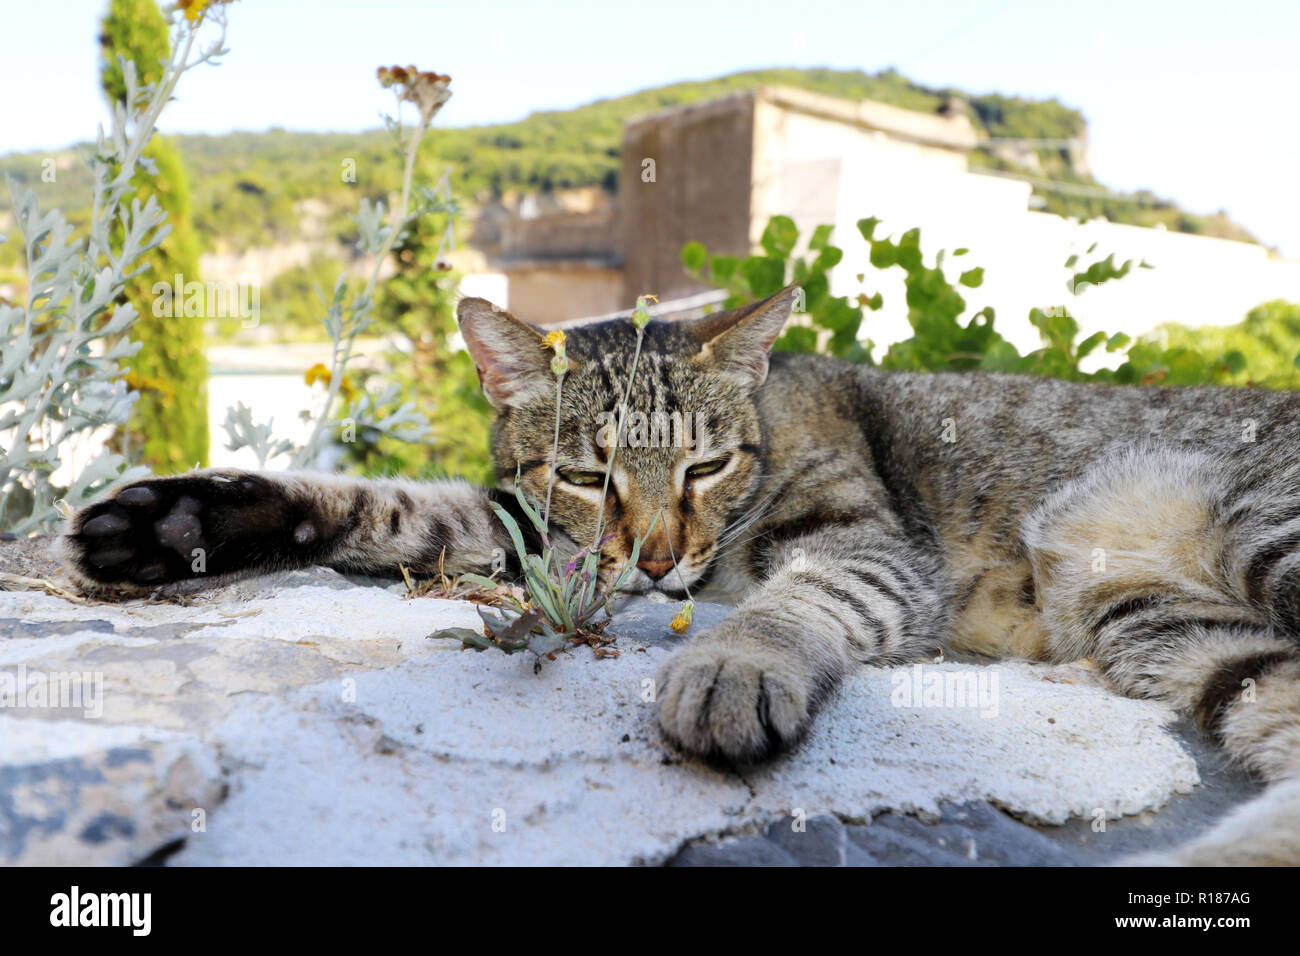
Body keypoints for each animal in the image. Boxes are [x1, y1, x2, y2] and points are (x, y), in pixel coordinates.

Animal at [61, 287, 1300, 863]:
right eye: (584, 473)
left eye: (705, 464)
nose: (655, 558)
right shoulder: (528, 530)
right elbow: (391, 507)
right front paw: (180, 517)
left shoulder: (865, 545)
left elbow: (793, 601)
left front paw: (733, 665)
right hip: (1184, 632)